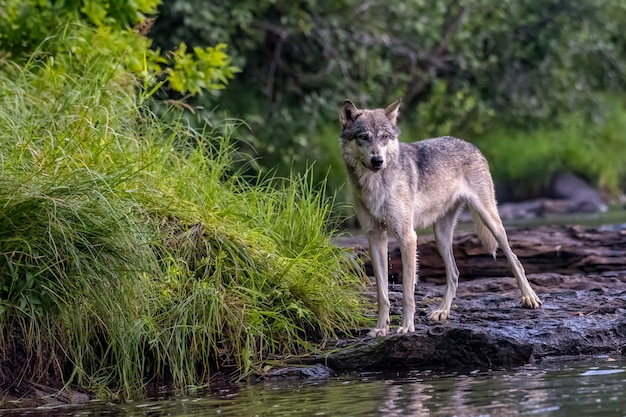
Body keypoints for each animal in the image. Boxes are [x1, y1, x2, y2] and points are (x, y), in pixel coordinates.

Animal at [338, 99, 540, 336]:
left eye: (384, 136)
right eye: (363, 137)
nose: (378, 160)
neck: (375, 185)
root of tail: (470, 144)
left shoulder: (408, 237)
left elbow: (407, 292)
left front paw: (407, 327)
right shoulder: (375, 237)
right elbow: (383, 294)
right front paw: (381, 329)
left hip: (491, 222)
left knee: (514, 259)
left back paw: (529, 298)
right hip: (441, 237)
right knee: (454, 274)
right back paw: (442, 312)